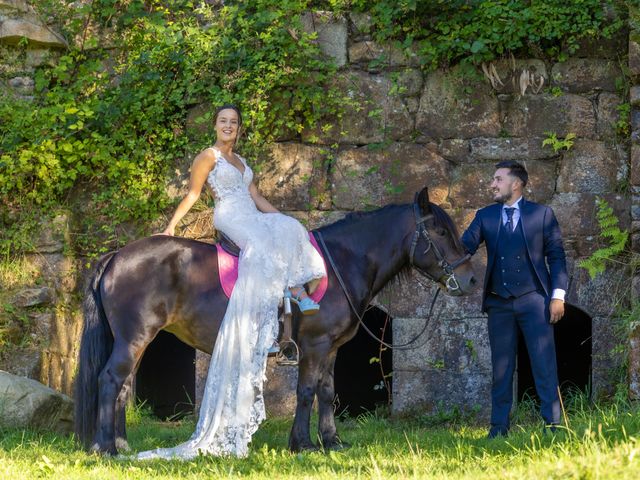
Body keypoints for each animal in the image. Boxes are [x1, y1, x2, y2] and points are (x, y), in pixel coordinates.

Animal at [75, 188, 476, 454]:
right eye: (441, 232)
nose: (471, 280)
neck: (340, 263)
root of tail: (117, 256)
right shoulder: (314, 345)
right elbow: (306, 392)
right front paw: (303, 444)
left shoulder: (330, 348)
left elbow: (327, 393)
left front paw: (332, 441)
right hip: (134, 338)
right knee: (109, 381)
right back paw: (105, 449)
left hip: (139, 340)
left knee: (123, 386)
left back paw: (121, 445)